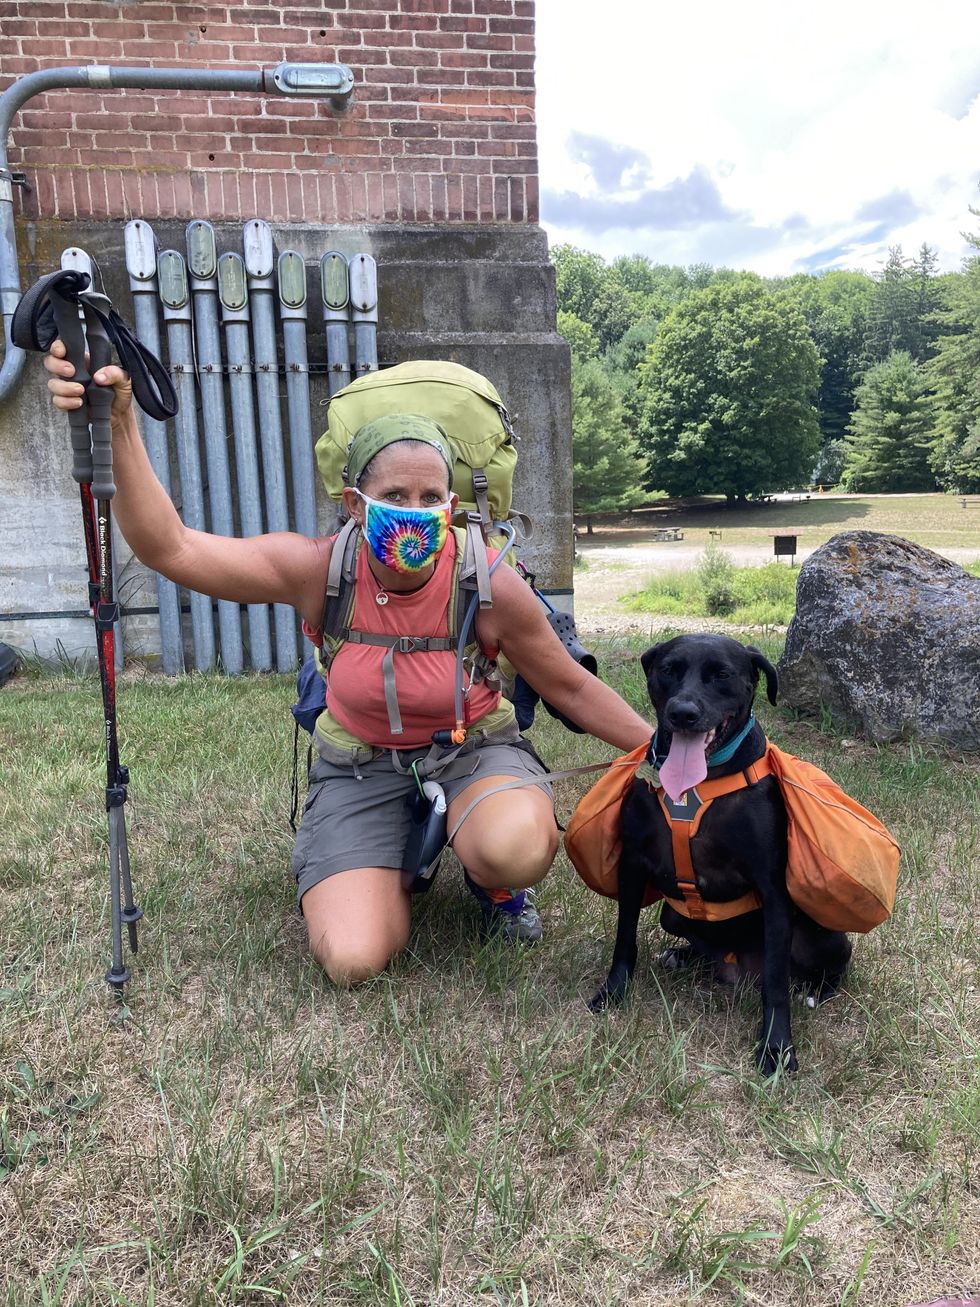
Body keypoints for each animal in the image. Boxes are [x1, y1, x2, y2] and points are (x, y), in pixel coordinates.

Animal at [590, 632, 851, 1071]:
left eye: (722, 675)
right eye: (669, 670)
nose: (682, 713)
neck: (696, 787)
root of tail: (737, 970)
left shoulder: (773, 889)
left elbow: (776, 984)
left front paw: (776, 1047)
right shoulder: (633, 865)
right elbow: (624, 939)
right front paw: (613, 992)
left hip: (827, 937)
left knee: (820, 973)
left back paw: (815, 993)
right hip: (672, 916)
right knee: (704, 950)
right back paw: (682, 957)